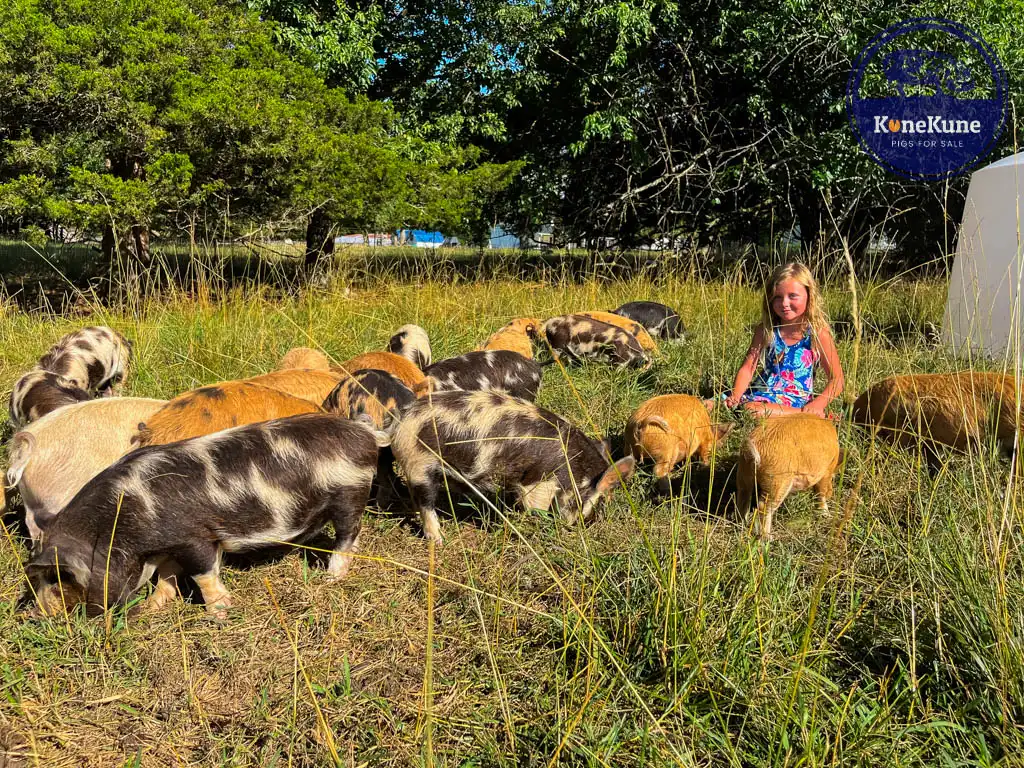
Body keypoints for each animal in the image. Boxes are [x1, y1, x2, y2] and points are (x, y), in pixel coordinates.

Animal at [28, 415, 389, 618]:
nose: (41, 616)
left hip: (350, 492)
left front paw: (219, 614)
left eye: (60, 578)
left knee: (348, 534)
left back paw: (332, 578)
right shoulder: (169, 544)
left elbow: (203, 573)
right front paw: (153, 607)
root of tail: (365, 431)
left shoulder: (195, 537)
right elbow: (167, 576)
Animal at [389, 393, 634, 544]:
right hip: (419, 463)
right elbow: (534, 504)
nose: (586, 526)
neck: (576, 469)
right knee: (426, 502)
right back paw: (439, 540)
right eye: (599, 503)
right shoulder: (540, 482)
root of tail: (402, 421)